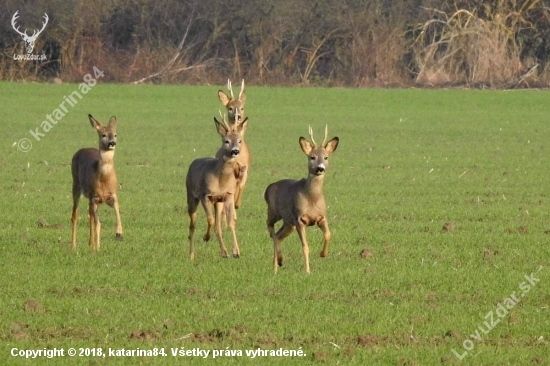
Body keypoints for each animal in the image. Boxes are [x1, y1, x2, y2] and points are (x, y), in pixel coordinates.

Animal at [71, 115, 123, 252]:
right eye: (103, 135)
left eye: (115, 134)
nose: (112, 143)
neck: (104, 179)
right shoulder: (94, 197)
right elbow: (98, 223)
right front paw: (98, 247)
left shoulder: (112, 195)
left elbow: (117, 213)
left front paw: (119, 233)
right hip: (76, 185)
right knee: (75, 214)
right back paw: (73, 245)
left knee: (90, 216)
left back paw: (91, 243)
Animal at [185, 114, 248, 260]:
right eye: (226, 141)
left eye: (239, 141)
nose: (235, 151)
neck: (221, 181)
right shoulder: (205, 195)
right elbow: (210, 219)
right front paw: (205, 237)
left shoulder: (228, 195)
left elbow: (230, 223)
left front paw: (236, 252)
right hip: (191, 195)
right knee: (192, 225)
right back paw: (191, 254)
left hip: (218, 202)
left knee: (218, 226)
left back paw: (224, 252)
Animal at [264, 126, 338, 272]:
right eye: (312, 157)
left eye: (326, 157)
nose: (320, 168)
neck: (312, 198)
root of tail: (268, 188)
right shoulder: (300, 219)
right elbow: (305, 246)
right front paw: (307, 271)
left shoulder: (322, 216)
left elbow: (328, 234)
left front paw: (323, 254)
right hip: (274, 212)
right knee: (270, 228)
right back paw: (278, 261)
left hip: (288, 223)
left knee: (278, 236)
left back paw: (277, 265)